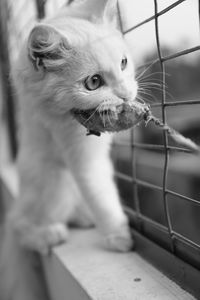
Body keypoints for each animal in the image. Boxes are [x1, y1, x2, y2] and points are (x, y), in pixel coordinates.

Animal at [0, 1, 138, 298]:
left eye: (123, 63)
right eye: (93, 82)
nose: (125, 94)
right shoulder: (79, 155)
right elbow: (101, 193)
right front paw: (118, 234)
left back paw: (83, 218)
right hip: (55, 183)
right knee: (19, 225)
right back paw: (48, 234)